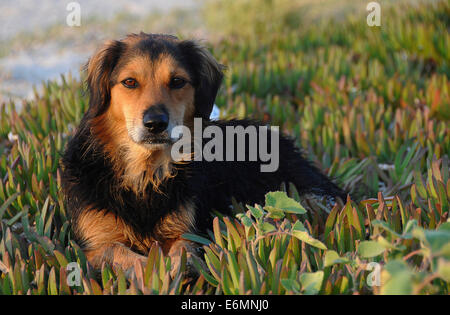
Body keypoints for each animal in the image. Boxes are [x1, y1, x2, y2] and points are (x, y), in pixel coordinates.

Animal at [61, 32, 346, 278]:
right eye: (129, 82)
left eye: (177, 81)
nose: (155, 123)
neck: (145, 172)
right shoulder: (95, 246)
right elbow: (123, 255)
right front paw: (153, 272)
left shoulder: (188, 232)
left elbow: (182, 251)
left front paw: (174, 271)